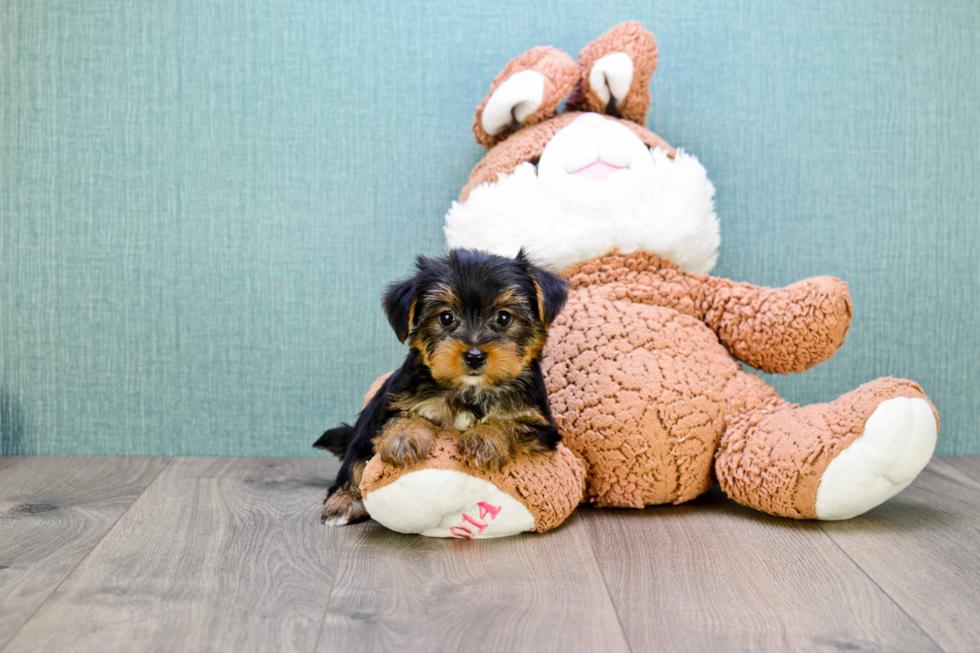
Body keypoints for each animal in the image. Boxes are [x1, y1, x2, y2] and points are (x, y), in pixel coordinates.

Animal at [316, 248, 568, 524]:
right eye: (446, 317)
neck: (470, 389)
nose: (474, 356)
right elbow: (404, 416)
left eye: (503, 317)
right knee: (353, 463)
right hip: (364, 429)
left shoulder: (540, 425)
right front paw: (404, 436)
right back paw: (342, 502)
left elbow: (511, 424)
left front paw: (484, 437)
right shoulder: (397, 401)